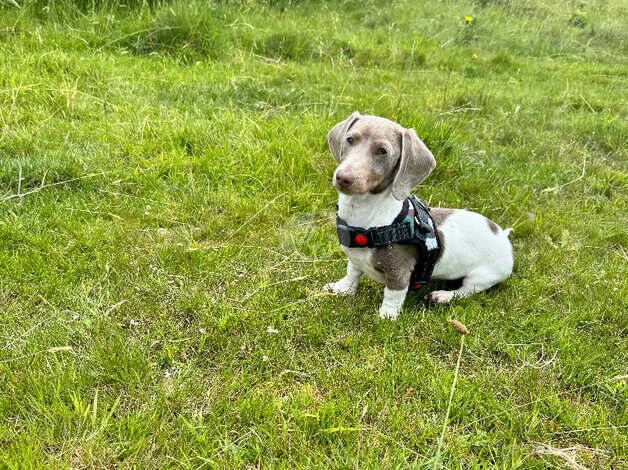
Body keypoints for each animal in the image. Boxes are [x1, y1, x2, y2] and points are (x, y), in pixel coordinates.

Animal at [322, 113, 512, 320]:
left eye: (382, 151)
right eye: (350, 139)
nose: (343, 177)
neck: (364, 217)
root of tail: (503, 235)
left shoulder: (399, 272)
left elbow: (392, 296)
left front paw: (386, 318)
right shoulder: (355, 258)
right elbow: (352, 272)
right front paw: (342, 288)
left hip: (483, 276)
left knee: (466, 291)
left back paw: (442, 296)